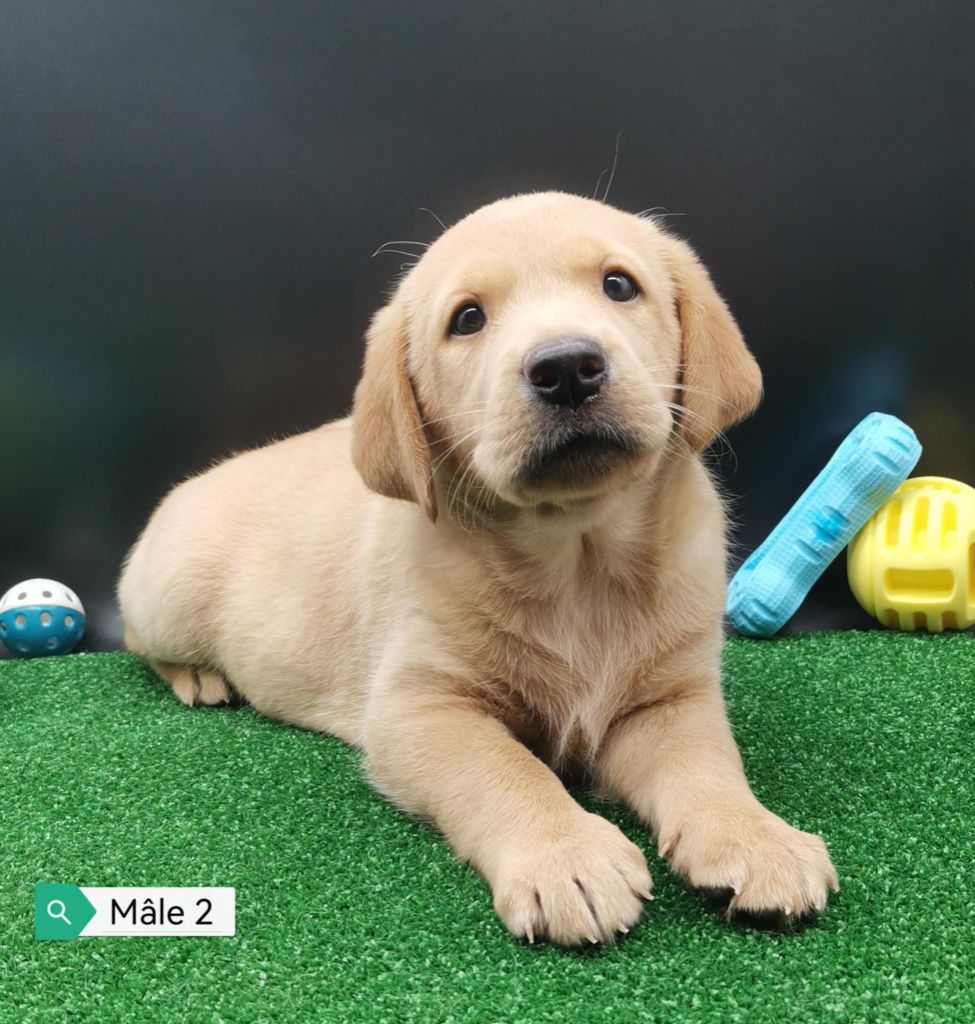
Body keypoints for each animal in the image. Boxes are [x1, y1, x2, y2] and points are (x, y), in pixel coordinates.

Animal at [119, 190, 839, 942]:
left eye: (619, 285)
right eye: (467, 319)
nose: (566, 367)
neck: (576, 558)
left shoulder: (668, 699)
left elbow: (707, 764)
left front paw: (754, 837)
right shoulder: (418, 708)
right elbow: (505, 769)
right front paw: (566, 857)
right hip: (169, 593)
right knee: (135, 633)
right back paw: (199, 677)